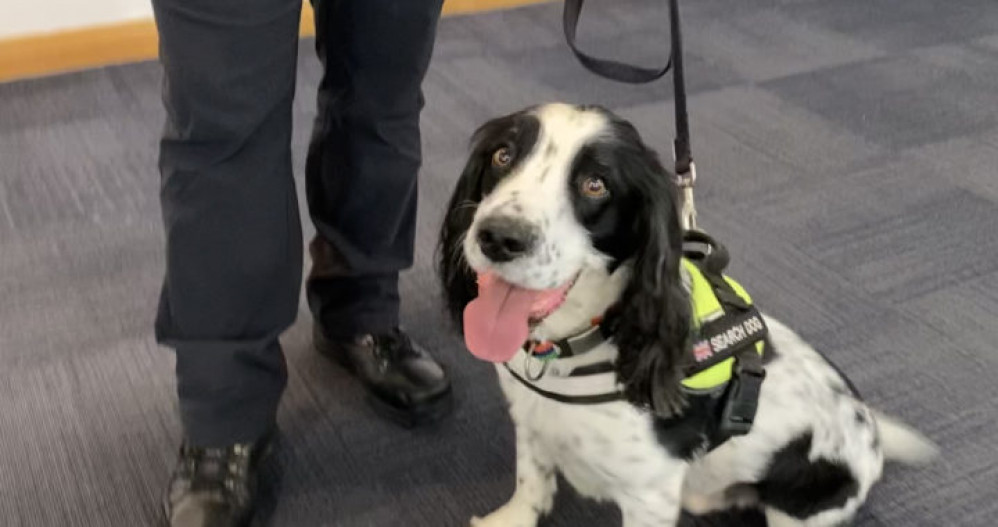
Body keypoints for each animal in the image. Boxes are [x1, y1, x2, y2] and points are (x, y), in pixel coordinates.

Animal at [438, 104, 936, 527]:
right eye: (503, 155)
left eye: (595, 184)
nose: (499, 238)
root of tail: (872, 432)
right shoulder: (531, 420)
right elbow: (531, 481)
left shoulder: (649, 495)